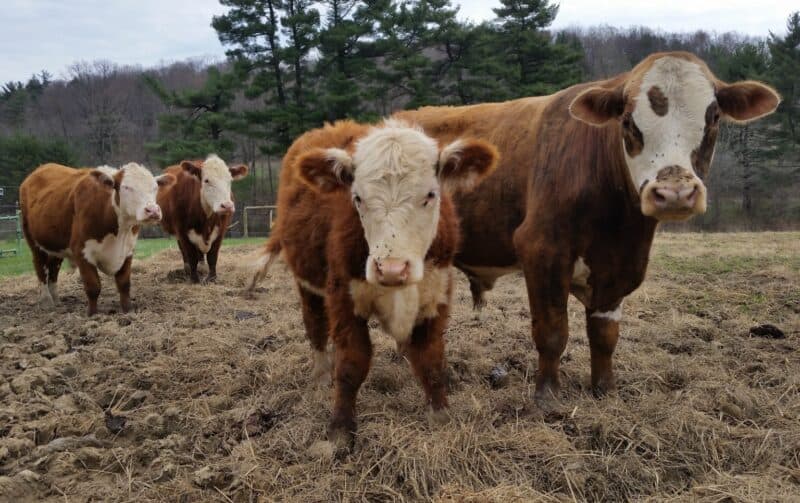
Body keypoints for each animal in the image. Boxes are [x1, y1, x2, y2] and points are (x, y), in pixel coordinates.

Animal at [19, 163, 174, 316]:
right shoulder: (81, 251)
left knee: (53, 268)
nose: (152, 211)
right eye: (126, 187)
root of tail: (42, 167)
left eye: (155, 187)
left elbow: (124, 284)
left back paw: (56, 300)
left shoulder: (128, 250)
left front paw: (128, 310)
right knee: (40, 267)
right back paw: (46, 301)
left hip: (55, 244)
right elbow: (93, 286)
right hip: (33, 241)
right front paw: (93, 314)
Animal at [155, 154, 245, 284]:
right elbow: (191, 256)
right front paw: (194, 278)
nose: (227, 206)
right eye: (206, 180)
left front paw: (212, 278)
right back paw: (187, 268)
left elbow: (213, 256)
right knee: (184, 251)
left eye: (230, 180)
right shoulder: (182, 232)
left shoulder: (221, 231)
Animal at [250, 119, 500, 448]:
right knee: (315, 327)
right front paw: (340, 429)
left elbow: (431, 359)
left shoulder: (436, 294)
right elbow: (351, 364)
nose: (391, 269)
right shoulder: (343, 296)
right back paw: (320, 376)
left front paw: (440, 415)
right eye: (357, 198)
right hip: (307, 284)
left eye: (430, 195)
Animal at [394, 50, 780, 406]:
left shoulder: (619, 266)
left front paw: (604, 390)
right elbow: (552, 332)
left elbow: (605, 334)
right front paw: (547, 397)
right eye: (628, 121)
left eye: (713, 116)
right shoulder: (542, 250)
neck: (617, 223)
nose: (674, 193)